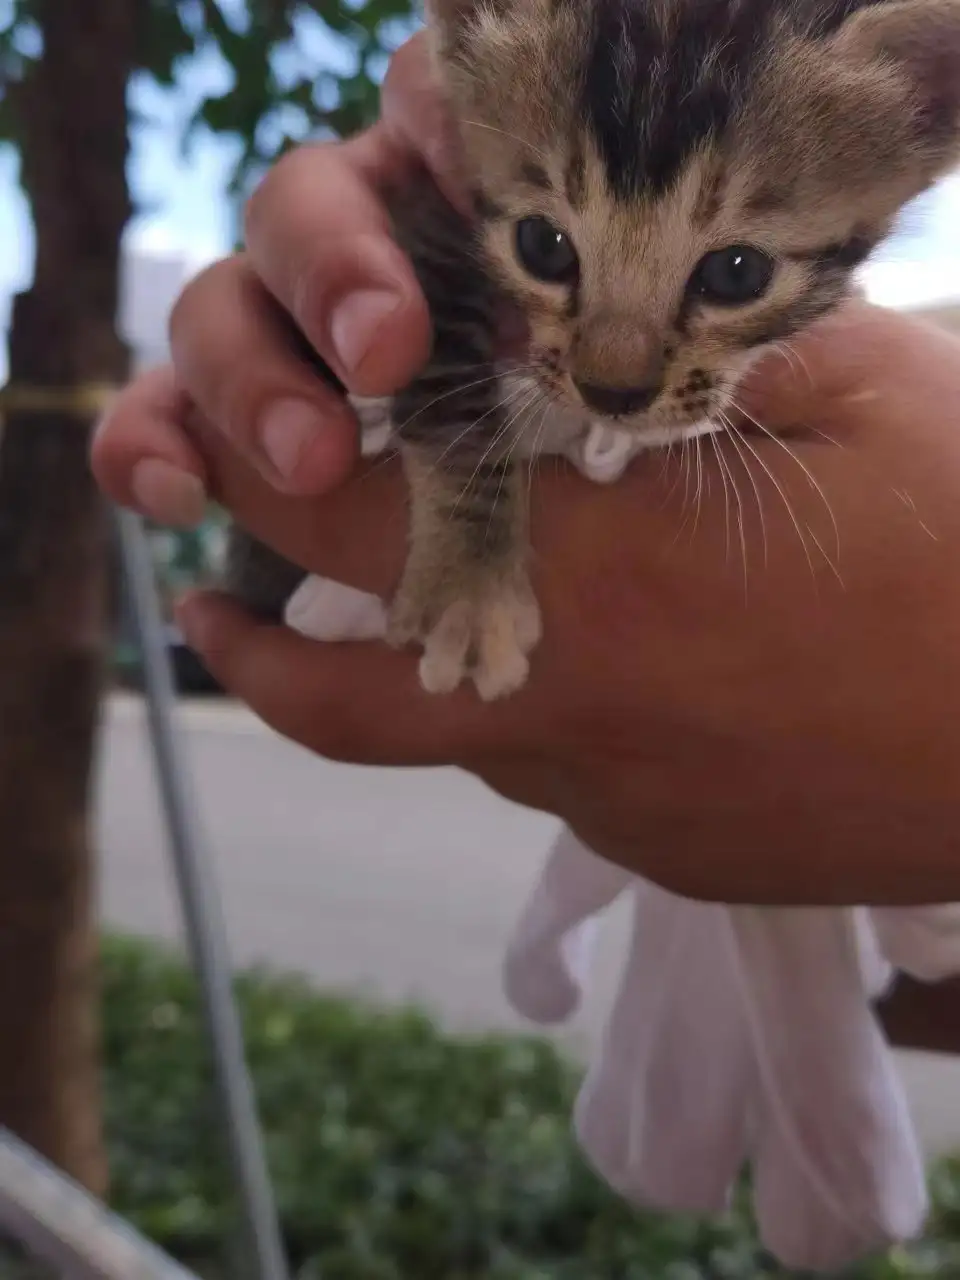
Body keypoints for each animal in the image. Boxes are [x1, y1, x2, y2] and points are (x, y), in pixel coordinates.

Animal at [224, 0, 960, 701]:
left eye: (737, 272)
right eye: (541, 245)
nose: (611, 392)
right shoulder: (421, 210)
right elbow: (448, 394)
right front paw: (468, 587)